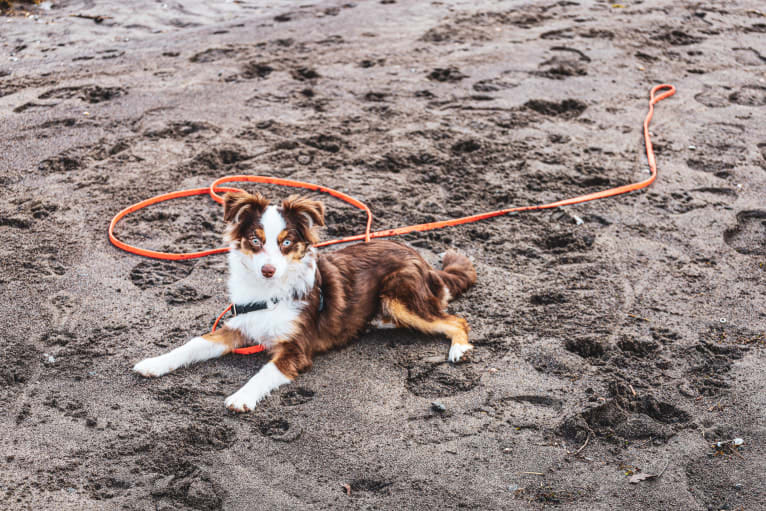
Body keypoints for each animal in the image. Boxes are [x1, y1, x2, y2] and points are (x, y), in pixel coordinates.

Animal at [135, 191, 476, 412]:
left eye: (286, 242)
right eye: (255, 240)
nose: (268, 269)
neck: (268, 294)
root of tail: (421, 259)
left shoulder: (296, 350)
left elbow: (265, 371)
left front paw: (242, 397)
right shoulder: (240, 326)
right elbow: (193, 344)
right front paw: (155, 363)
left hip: (399, 296)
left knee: (456, 320)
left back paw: (459, 349)